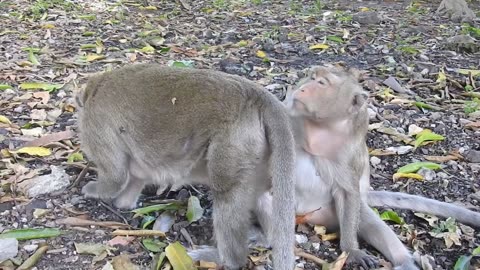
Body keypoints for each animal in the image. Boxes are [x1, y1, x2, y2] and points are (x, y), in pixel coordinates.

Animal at [74, 63, 296, 270]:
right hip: (259, 152)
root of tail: (256, 94)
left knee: (226, 191)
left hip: (236, 142)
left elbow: (116, 177)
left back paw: (226, 259)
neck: (96, 89)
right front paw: (123, 203)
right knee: (258, 195)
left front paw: (93, 190)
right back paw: (267, 238)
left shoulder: (95, 122)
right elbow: (134, 178)